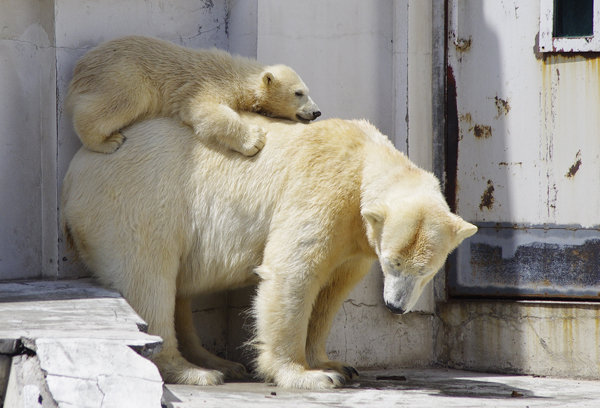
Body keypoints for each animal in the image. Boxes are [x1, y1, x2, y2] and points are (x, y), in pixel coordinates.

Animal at [59, 113, 474, 388]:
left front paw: (336, 364)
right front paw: (308, 375)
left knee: (174, 288)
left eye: (425, 271)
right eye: (393, 262)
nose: (395, 307)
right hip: (139, 201)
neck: (360, 158)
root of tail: (75, 173)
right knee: (149, 277)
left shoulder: (354, 238)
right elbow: (293, 272)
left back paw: (219, 363)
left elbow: (333, 290)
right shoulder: (321, 191)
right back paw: (194, 371)